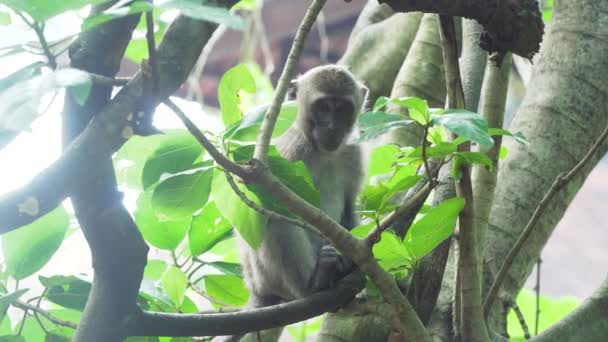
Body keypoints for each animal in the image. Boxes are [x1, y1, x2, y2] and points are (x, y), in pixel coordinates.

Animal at [214, 65, 366, 342]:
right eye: (323, 107)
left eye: (342, 108)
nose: (331, 128)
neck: (322, 151)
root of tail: (256, 289)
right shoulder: (289, 151)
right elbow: (262, 205)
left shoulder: (352, 154)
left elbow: (350, 207)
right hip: (266, 276)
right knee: (276, 221)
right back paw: (313, 284)